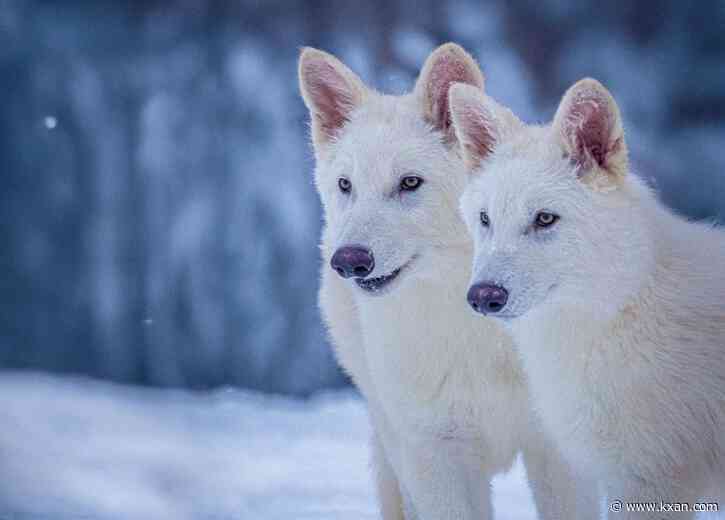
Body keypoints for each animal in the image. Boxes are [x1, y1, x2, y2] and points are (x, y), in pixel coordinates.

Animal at [298, 43, 597, 520]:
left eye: (410, 183)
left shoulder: (557, 452)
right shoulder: (434, 455)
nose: (349, 261)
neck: (474, 331)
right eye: (346, 185)